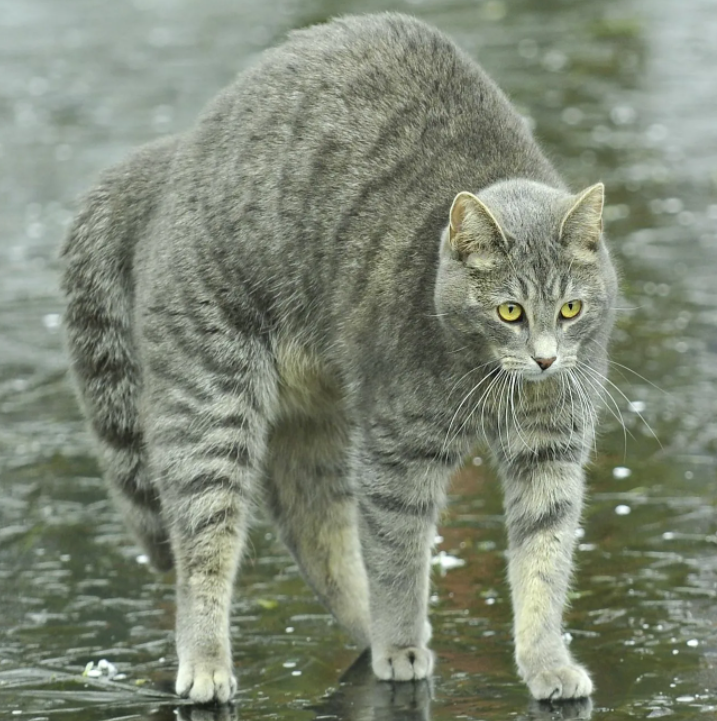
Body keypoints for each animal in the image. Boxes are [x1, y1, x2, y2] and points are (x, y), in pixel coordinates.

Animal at [60, 12, 616, 704]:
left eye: (570, 309)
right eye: (509, 311)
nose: (544, 361)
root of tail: (175, 152)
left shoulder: (551, 449)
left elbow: (545, 559)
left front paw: (546, 660)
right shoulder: (398, 452)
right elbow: (399, 556)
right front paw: (401, 642)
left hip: (314, 418)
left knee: (312, 527)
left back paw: (364, 625)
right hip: (211, 407)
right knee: (202, 548)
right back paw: (215, 660)